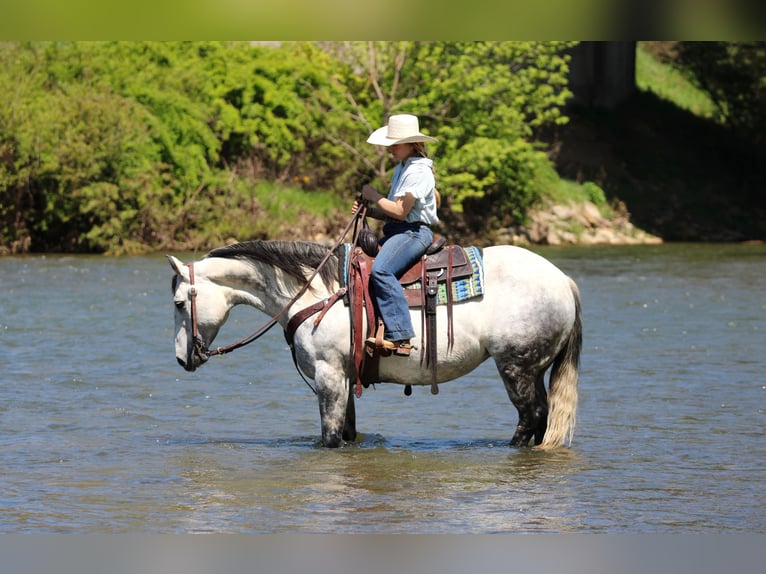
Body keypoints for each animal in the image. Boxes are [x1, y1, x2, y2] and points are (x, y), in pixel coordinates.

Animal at [168, 239, 582, 449]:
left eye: (178, 303)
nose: (181, 358)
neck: (317, 293)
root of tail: (562, 280)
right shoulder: (344, 379)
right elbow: (348, 433)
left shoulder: (329, 377)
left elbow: (330, 438)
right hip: (534, 369)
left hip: (516, 366)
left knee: (531, 417)